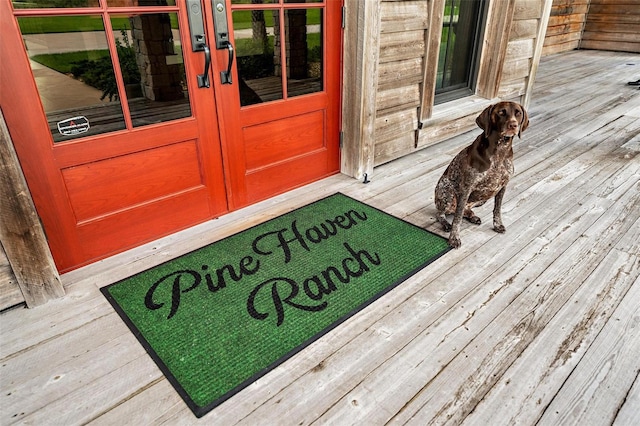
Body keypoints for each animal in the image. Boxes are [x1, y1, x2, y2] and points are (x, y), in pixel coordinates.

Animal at [436, 101, 528, 248]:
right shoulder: (466, 188)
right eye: (501, 112)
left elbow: (497, 209)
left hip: (484, 197)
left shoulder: (502, 186)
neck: (499, 151)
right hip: (447, 192)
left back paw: (472, 215)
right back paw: (446, 223)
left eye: (518, 113)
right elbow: (457, 219)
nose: (513, 125)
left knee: (465, 209)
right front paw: (454, 238)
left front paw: (498, 225)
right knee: (442, 214)